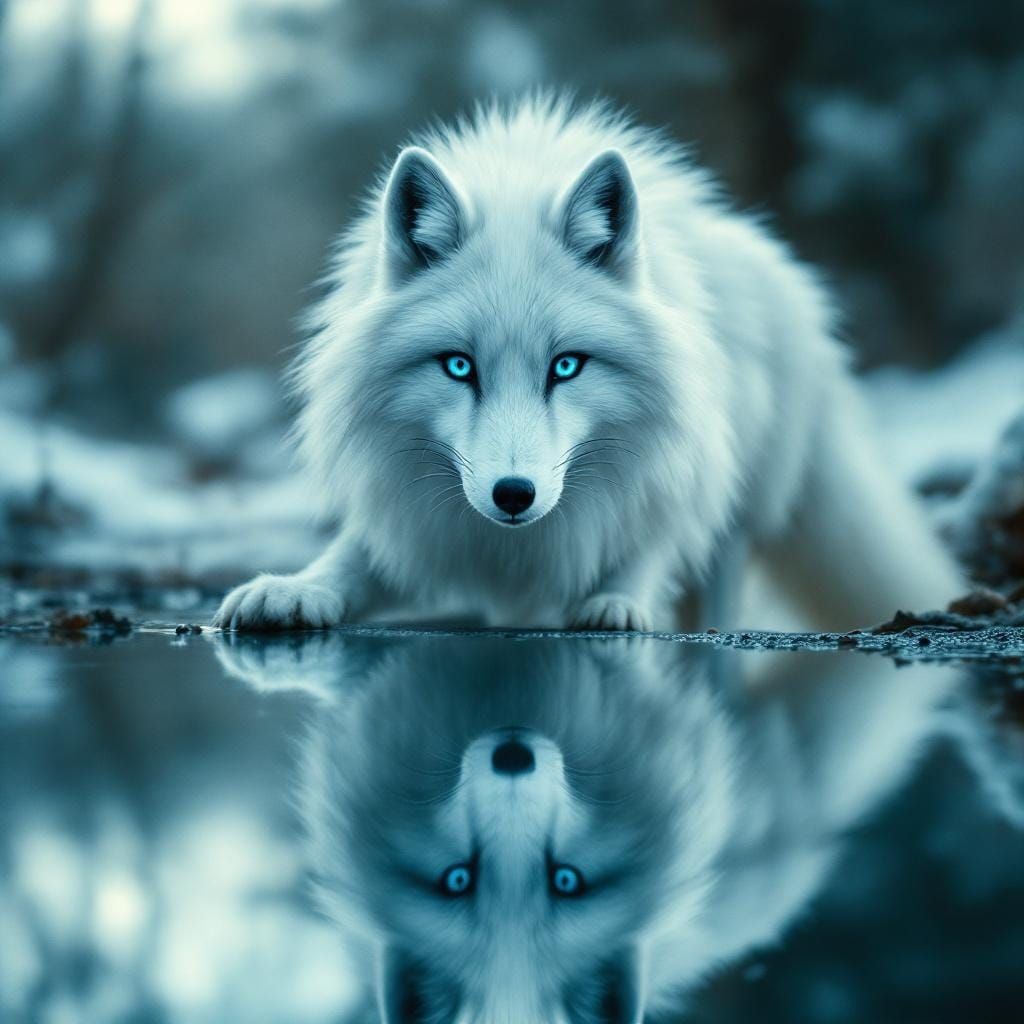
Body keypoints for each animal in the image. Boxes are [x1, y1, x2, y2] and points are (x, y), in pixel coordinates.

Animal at [214, 94, 962, 633]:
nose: (513, 495)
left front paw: (619, 603)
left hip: (741, 495)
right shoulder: (419, 519)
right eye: (458, 367)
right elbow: (355, 557)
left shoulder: (675, 471)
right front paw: (295, 590)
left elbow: (649, 545)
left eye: (566, 367)